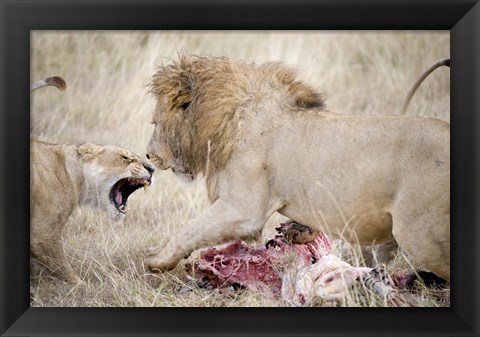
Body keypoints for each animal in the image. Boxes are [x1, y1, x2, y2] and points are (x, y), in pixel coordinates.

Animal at [31, 77, 155, 282]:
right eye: (125, 157)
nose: (152, 169)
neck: (74, 175)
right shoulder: (43, 235)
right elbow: (67, 272)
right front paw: (81, 285)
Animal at [145, 55, 450, 280]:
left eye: (155, 123)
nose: (148, 156)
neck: (228, 120)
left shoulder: (243, 209)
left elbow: (190, 230)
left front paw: (156, 259)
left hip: (419, 234)